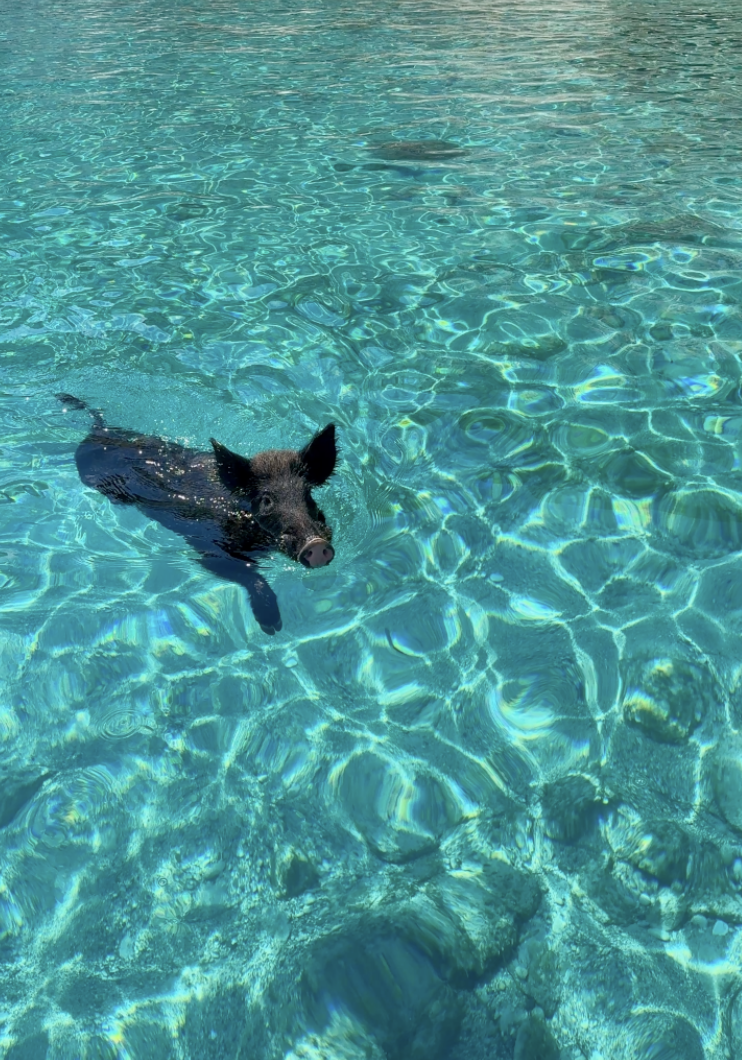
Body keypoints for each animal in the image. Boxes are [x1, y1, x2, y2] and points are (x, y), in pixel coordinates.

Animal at [57, 394, 337, 635]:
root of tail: (99, 429)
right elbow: (249, 575)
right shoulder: (211, 550)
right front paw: (272, 627)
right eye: (266, 500)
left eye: (307, 492)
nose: (316, 543)